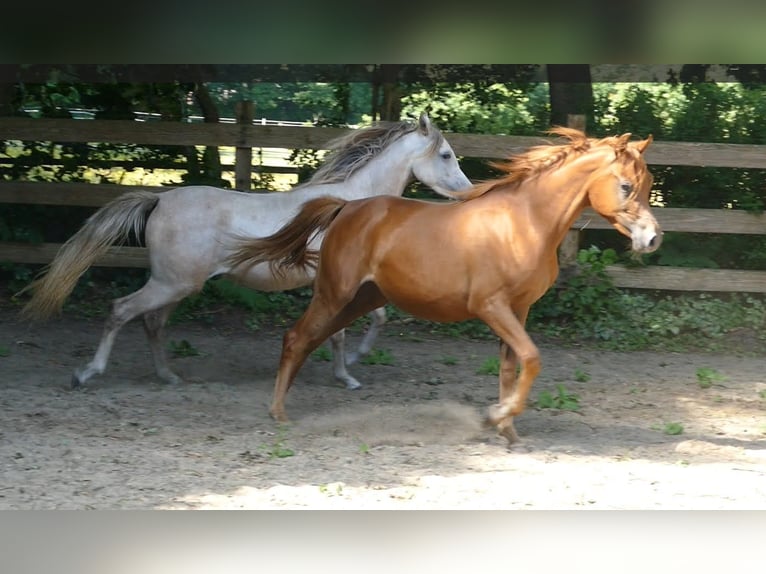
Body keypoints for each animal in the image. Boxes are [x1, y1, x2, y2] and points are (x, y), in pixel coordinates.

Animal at [20, 112, 472, 390]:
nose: (468, 194)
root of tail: (159, 200)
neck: (352, 204)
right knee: (122, 311)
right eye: (446, 154)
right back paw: (87, 374)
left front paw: (350, 370)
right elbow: (350, 327)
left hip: (178, 285)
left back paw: (169, 377)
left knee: (152, 322)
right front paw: (351, 372)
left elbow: (367, 321)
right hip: (171, 283)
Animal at [228, 127, 662, 443]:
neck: (525, 222)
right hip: (335, 293)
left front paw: (507, 430)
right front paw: (494, 417)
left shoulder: (519, 309)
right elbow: (532, 358)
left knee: (315, 338)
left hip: (361, 299)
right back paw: (279, 412)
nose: (652, 239)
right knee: (297, 337)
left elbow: (511, 367)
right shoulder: (491, 307)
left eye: (648, 184)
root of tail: (347, 206)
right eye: (626, 186)